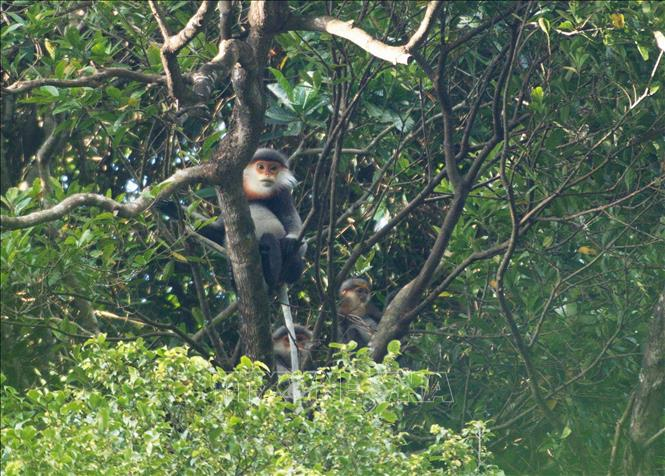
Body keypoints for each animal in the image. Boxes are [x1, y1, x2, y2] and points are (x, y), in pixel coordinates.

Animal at [158, 149, 306, 288]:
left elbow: (296, 231)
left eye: (273, 168)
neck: (257, 192)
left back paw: (271, 275)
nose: (268, 174)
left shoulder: (282, 194)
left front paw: (290, 240)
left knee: (272, 240)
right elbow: (219, 231)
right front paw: (171, 208)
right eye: (261, 167)